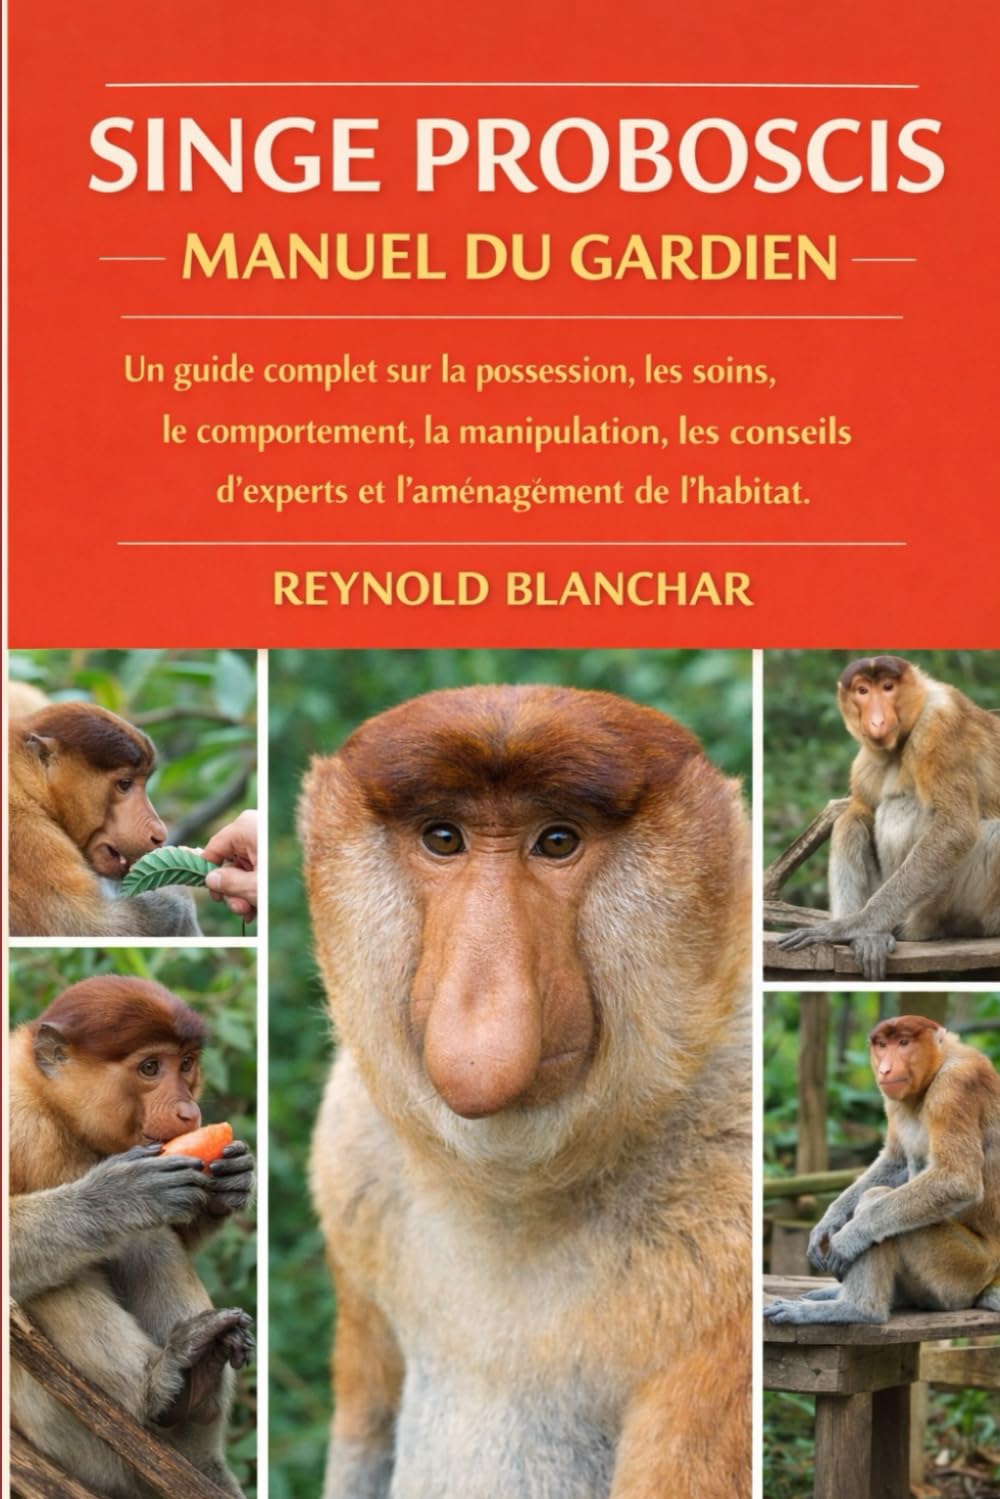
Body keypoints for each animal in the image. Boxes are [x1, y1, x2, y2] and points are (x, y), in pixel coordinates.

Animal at [9, 976, 255, 1497]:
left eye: (187, 1063)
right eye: (149, 1067)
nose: (188, 1114)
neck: (53, 1109)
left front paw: (233, 1180)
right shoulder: (20, 1125)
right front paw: (121, 1193)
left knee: (150, 1242)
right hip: (72, 1441)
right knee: (53, 1279)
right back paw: (158, 1385)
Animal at [764, 1015, 1000, 1327]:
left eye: (904, 1042)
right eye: (882, 1045)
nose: (885, 1069)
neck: (935, 1070)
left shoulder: (955, 1087)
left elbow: (958, 1179)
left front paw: (847, 1239)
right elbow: (895, 1160)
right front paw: (827, 1223)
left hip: (961, 1270)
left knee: (877, 1199)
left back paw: (856, 1309)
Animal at [778, 655, 1000, 979]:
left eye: (887, 687)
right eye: (862, 691)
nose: (877, 722)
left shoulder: (939, 726)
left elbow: (955, 827)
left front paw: (851, 926)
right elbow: (860, 809)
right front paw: (860, 933)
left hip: (966, 906)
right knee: (852, 821)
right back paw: (872, 938)